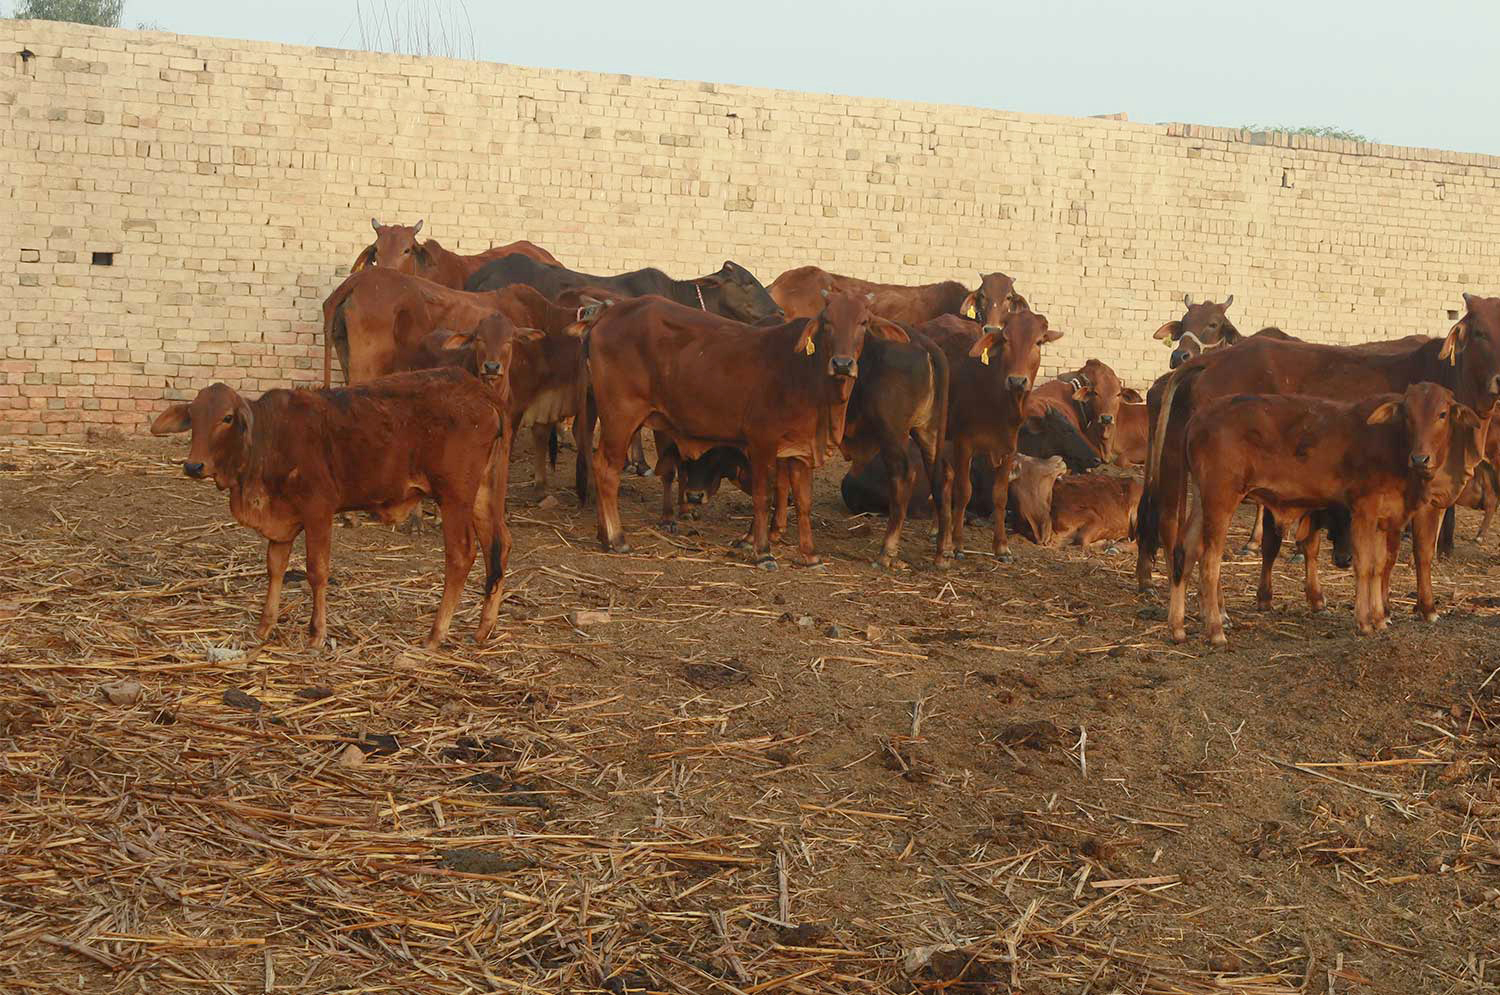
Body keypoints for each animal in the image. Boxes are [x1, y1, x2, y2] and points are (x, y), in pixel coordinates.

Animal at [148, 367, 515, 650]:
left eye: (227, 417)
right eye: (193, 416)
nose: (193, 466)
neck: (269, 439)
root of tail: (480, 391)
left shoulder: (318, 510)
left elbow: (316, 571)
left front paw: (316, 634)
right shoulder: (282, 522)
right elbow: (275, 568)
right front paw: (264, 627)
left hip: (454, 497)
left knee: (462, 555)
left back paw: (436, 635)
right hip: (482, 494)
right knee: (498, 546)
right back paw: (483, 630)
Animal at [577, 291, 899, 568]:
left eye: (863, 322)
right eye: (827, 321)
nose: (843, 364)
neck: (807, 375)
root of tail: (606, 314)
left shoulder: (801, 451)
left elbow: (804, 503)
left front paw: (810, 555)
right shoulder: (762, 443)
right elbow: (764, 497)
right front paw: (763, 552)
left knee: (599, 464)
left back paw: (603, 535)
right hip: (621, 415)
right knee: (607, 470)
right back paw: (617, 539)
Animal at [925, 308, 1063, 562]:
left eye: (1038, 342)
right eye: (1006, 339)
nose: (1017, 380)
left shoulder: (1009, 448)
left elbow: (1000, 495)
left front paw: (1001, 547)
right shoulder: (964, 443)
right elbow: (964, 491)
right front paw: (958, 544)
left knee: (945, 477)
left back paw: (936, 528)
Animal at [1168, 384, 1483, 645]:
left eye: (1442, 414)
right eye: (1408, 415)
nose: (1420, 458)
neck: (1393, 446)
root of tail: (1199, 417)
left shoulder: (1383, 519)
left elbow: (1380, 566)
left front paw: (1380, 619)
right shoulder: (1363, 510)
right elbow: (1365, 566)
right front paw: (1365, 621)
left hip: (1202, 499)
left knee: (1186, 551)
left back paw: (1178, 628)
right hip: (1221, 499)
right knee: (1209, 562)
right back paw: (1215, 630)